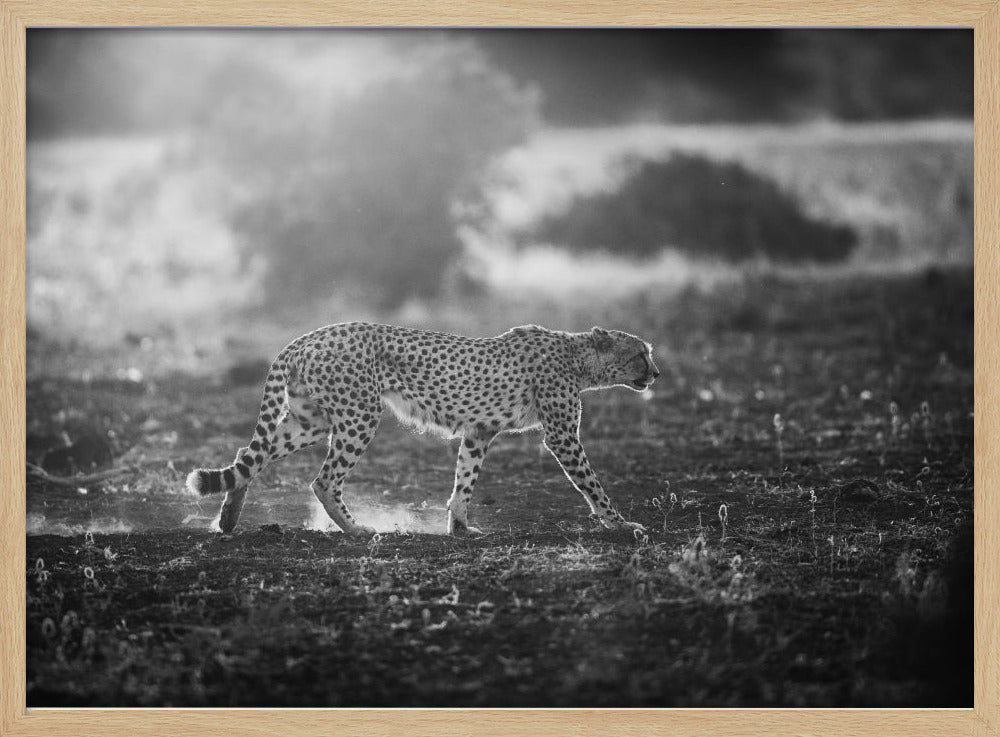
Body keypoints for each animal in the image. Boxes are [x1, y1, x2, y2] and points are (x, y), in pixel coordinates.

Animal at [186, 322, 659, 537]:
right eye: (641, 354)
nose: (656, 374)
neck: (579, 357)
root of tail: (307, 336)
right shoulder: (561, 435)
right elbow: (591, 482)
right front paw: (621, 523)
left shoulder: (479, 431)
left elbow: (465, 480)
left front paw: (461, 527)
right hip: (359, 415)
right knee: (323, 479)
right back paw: (356, 529)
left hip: (310, 420)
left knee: (250, 457)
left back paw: (228, 518)